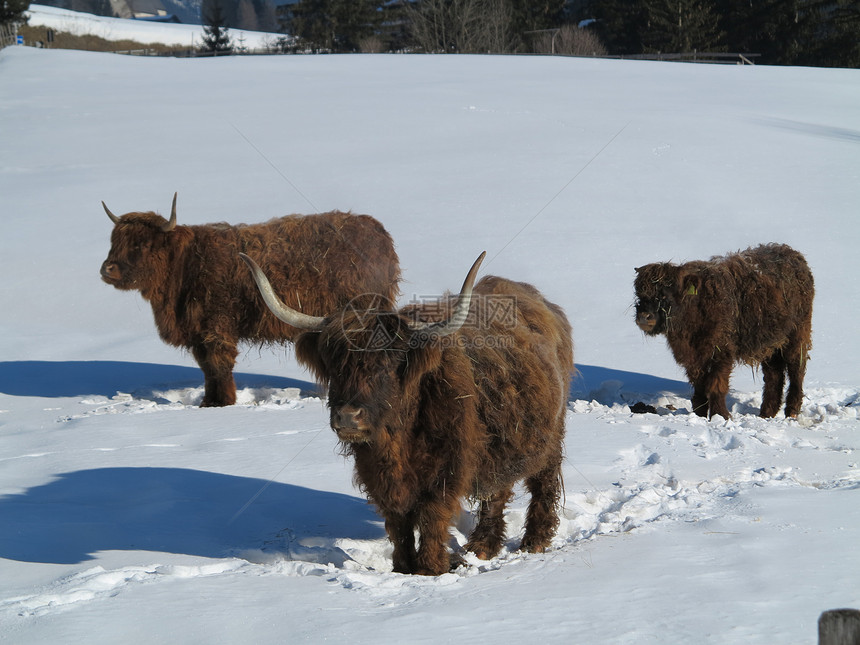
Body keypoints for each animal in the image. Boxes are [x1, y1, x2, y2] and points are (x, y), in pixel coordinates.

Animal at [100, 191, 400, 406]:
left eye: (141, 244)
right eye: (114, 242)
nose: (107, 269)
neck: (185, 265)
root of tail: (378, 233)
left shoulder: (216, 329)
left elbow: (219, 366)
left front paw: (222, 403)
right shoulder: (198, 334)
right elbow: (207, 369)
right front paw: (209, 402)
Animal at [242, 250, 576, 572]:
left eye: (389, 364)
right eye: (335, 366)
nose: (348, 417)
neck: (398, 441)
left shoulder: (446, 472)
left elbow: (431, 518)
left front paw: (431, 568)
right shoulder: (380, 476)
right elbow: (398, 523)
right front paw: (403, 568)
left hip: (551, 434)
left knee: (543, 482)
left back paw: (534, 541)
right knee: (497, 490)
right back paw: (482, 546)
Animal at [636, 242, 816, 418]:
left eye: (665, 294)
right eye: (639, 295)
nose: (644, 317)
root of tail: (794, 255)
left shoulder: (721, 353)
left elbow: (716, 385)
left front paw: (720, 415)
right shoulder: (693, 357)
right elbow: (699, 386)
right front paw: (700, 413)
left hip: (798, 336)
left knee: (796, 369)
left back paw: (791, 411)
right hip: (770, 343)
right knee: (774, 375)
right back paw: (767, 413)